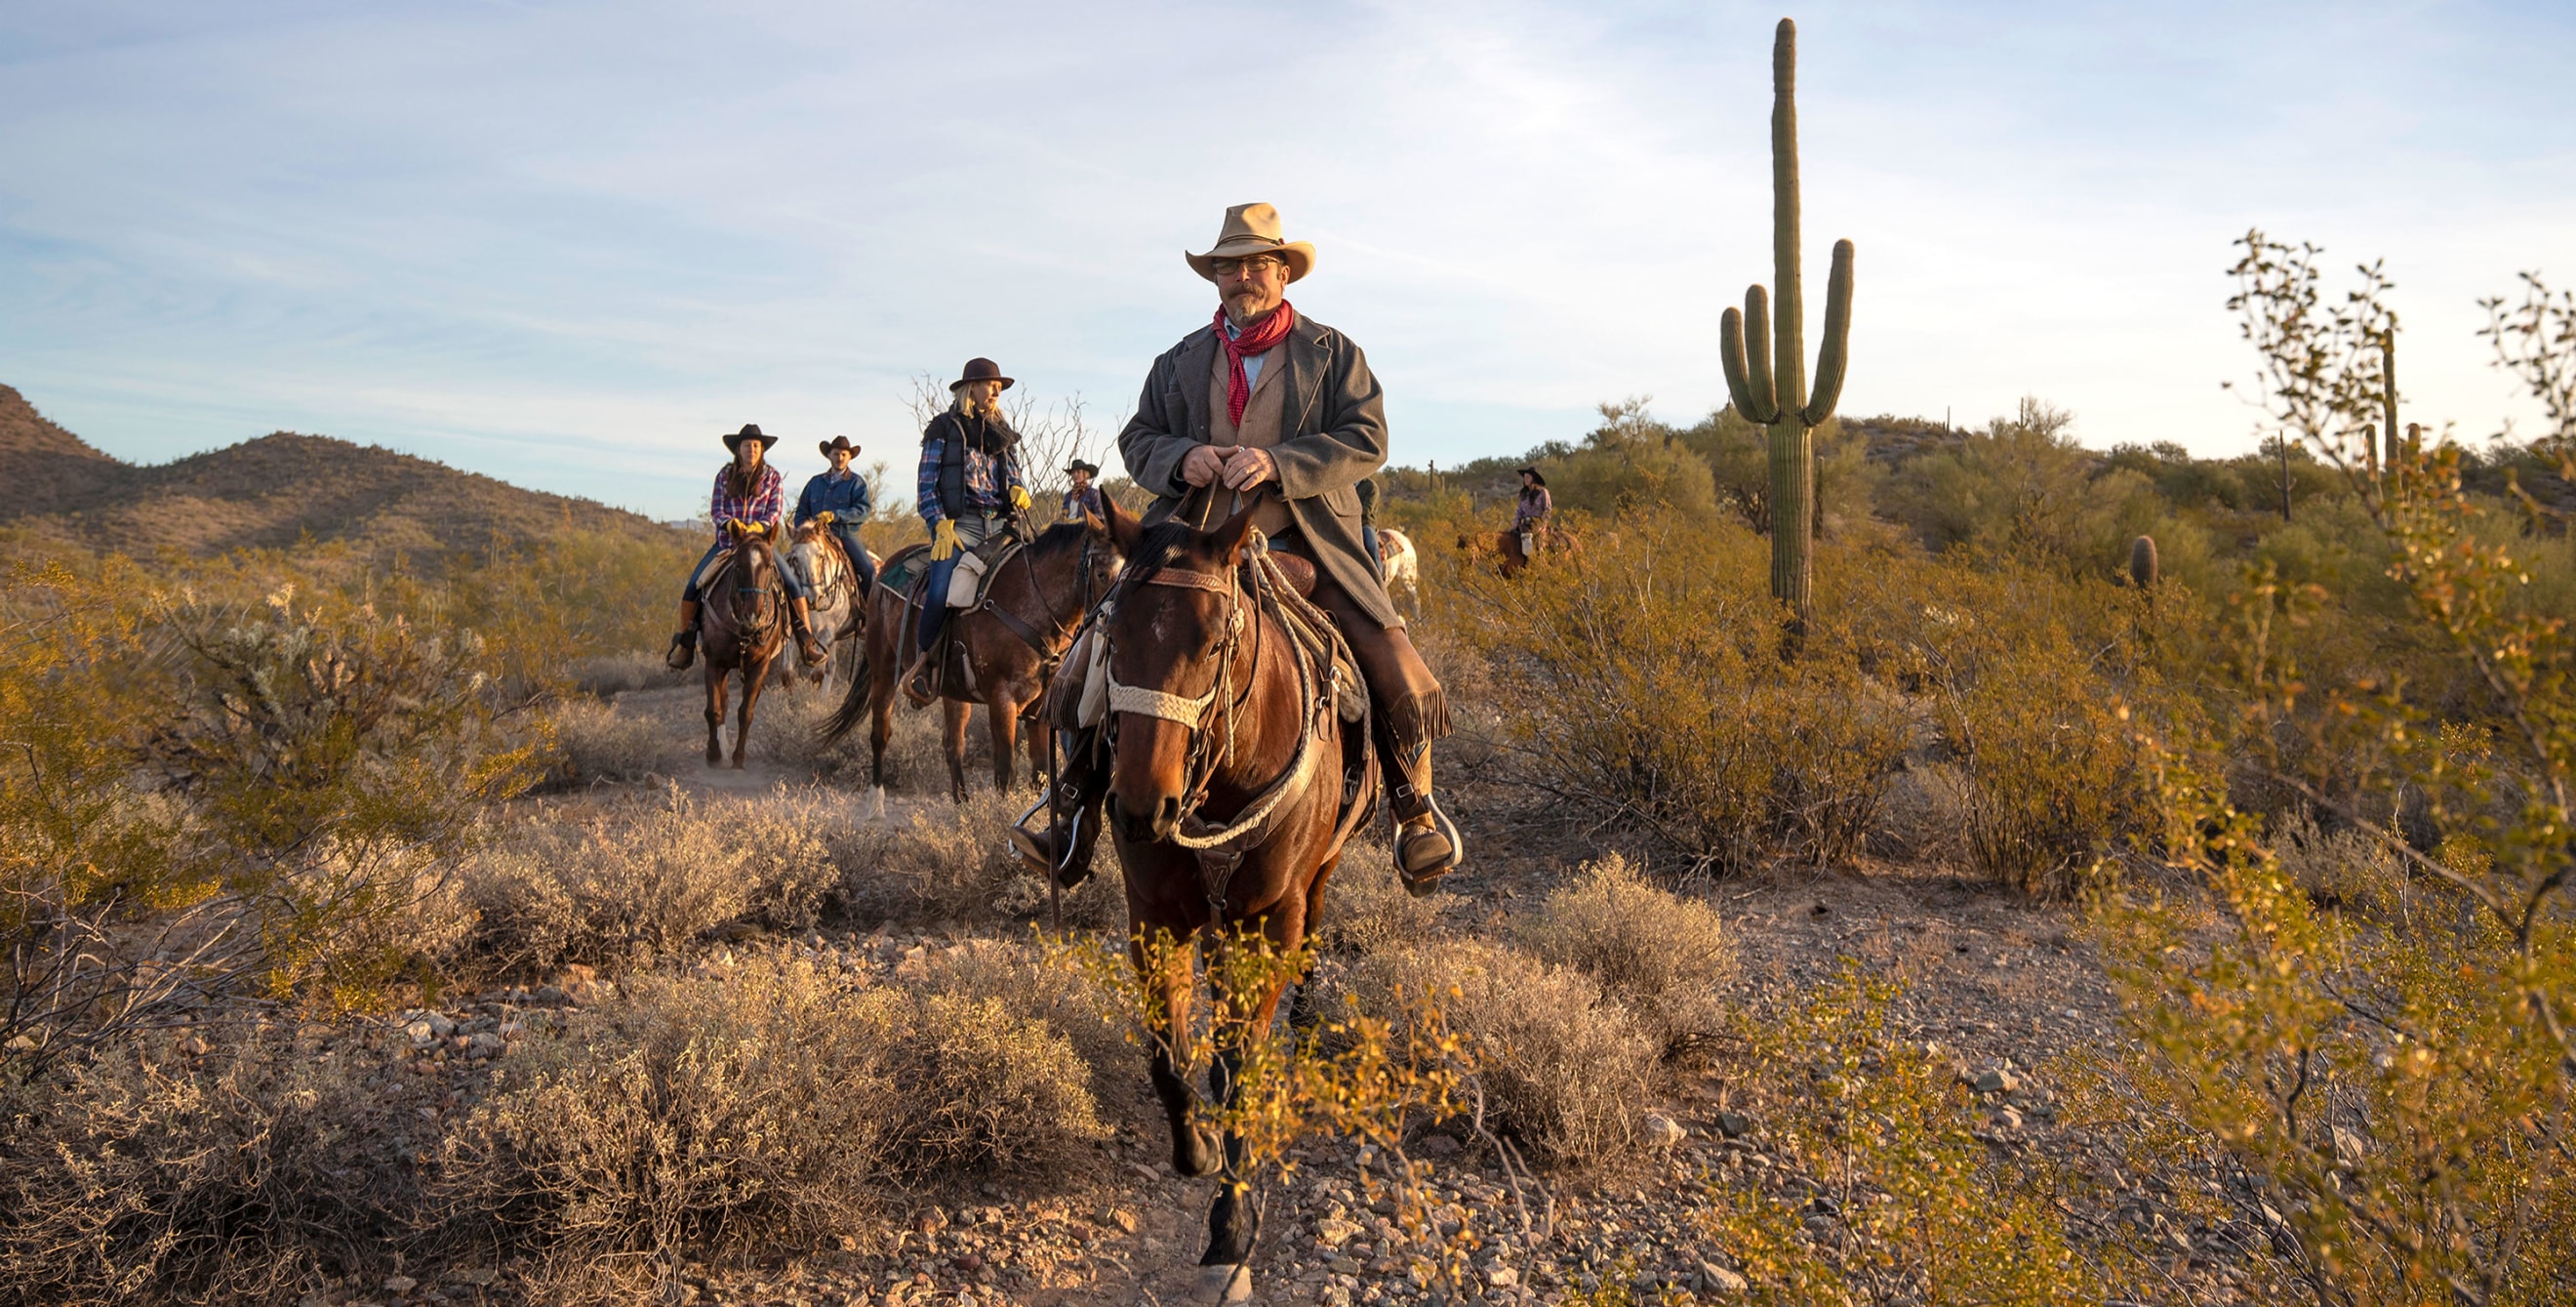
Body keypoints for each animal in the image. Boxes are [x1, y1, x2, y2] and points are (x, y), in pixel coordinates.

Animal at [695, 528, 783, 768]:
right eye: (738, 565)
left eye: (770, 565)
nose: (753, 615)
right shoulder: (714, 663)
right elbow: (713, 710)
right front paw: (713, 754)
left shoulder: (760, 666)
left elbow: (746, 712)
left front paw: (738, 759)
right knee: (721, 706)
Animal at [814, 512, 1117, 804]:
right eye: (1102, 573)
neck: (1033, 603)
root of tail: (883, 570)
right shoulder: (1002, 700)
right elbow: (1005, 772)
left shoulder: (1041, 706)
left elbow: (1040, 773)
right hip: (884, 671)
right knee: (880, 733)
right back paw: (875, 804)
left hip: (952, 691)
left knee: (953, 744)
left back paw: (962, 805)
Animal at [1087, 497, 1381, 1299]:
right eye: (1111, 636)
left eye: (1216, 642)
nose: (1140, 808)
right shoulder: (1154, 917)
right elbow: (1169, 1054)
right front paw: (1196, 1147)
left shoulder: (1271, 922)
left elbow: (1244, 1066)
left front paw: (1230, 1229)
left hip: (1317, 879)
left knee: (1312, 940)